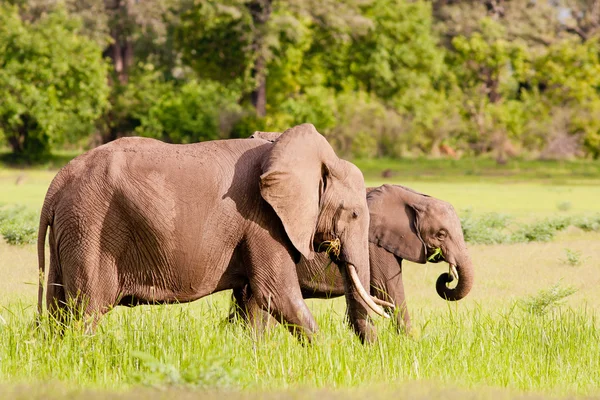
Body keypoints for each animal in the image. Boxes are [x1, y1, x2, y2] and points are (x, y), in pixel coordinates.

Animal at [36, 123, 390, 342]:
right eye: (354, 213)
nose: (372, 354)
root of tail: (57, 182)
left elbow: (255, 301)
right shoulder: (262, 221)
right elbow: (277, 295)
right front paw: (324, 357)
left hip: (70, 231)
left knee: (58, 309)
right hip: (90, 229)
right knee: (86, 311)